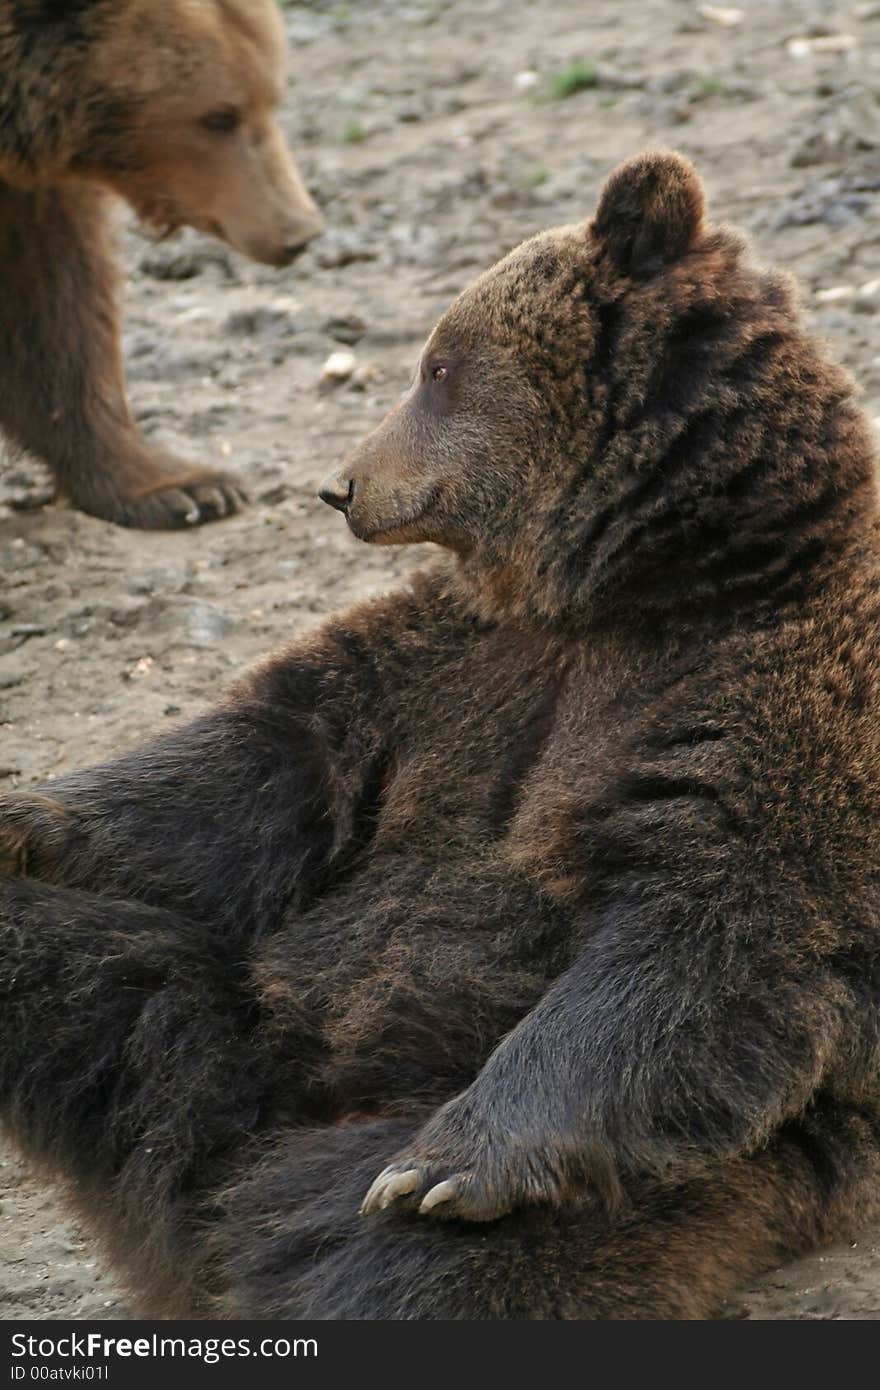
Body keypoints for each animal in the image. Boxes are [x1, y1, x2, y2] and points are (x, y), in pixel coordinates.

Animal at [0, 0, 322, 525]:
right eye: (218, 116)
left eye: (272, 96)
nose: (299, 231)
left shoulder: (26, 198)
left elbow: (53, 299)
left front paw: (189, 487)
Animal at [1, 152, 878, 1323]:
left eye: (439, 366)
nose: (341, 486)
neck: (641, 581)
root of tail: (207, 1174)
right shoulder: (455, 667)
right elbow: (266, 766)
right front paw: (22, 810)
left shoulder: (774, 686)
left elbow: (706, 922)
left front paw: (448, 1164)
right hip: (212, 1008)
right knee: (75, 963)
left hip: (681, 1186)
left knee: (397, 1268)